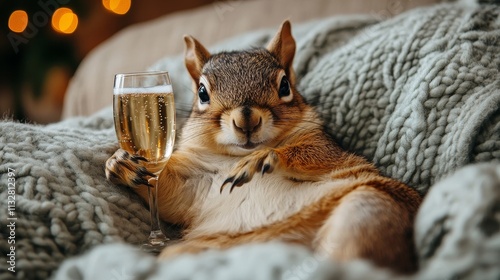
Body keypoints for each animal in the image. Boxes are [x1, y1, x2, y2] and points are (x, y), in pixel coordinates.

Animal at [105, 20, 422, 274]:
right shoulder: (195, 183)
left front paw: (262, 158)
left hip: (369, 209)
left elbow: (312, 155)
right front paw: (122, 163)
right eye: (202, 93)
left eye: (285, 86)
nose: (247, 120)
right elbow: (171, 193)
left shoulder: (325, 146)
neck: (234, 156)